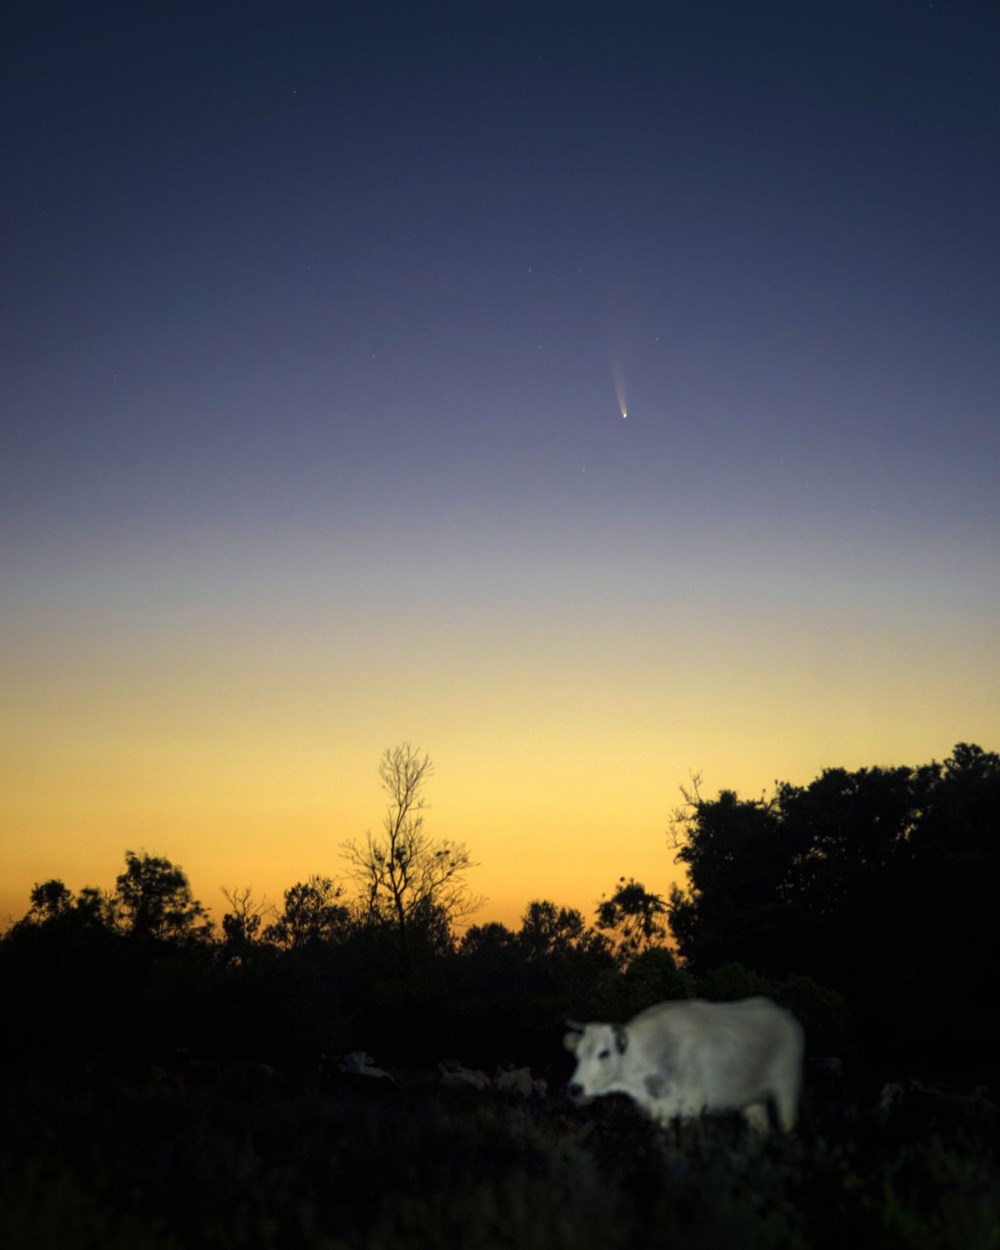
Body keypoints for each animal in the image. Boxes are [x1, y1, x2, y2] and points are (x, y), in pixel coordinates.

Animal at [562, 995, 805, 1135]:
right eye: (577, 1055)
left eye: (604, 1053)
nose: (575, 1088)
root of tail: (784, 1016)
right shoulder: (660, 1112)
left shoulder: (692, 1106)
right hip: (752, 1101)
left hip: (787, 1086)